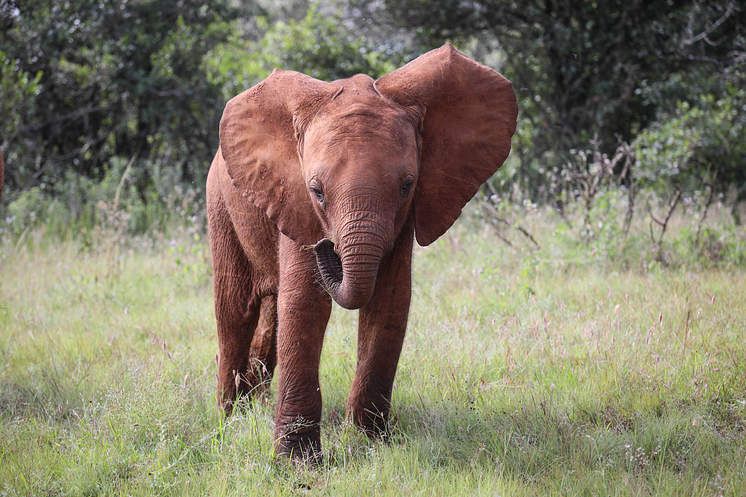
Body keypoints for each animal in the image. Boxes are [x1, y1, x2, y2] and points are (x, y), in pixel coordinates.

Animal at [205, 43, 516, 462]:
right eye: (317, 191)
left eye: (407, 185)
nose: (328, 248)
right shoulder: (295, 201)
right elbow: (305, 303)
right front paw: (299, 464)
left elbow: (390, 301)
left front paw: (372, 441)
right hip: (220, 205)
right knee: (235, 310)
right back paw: (230, 419)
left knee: (269, 313)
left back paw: (254, 406)